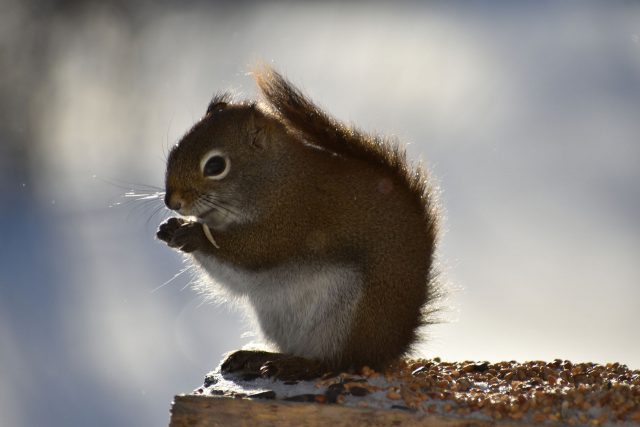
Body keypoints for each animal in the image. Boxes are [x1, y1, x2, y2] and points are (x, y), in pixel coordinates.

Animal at [158, 67, 442, 382]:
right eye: (176, 148)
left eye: (215, 166)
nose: (172, 201)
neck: (277, 179)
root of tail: (388, 348)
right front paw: (171, 227)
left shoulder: (291, 223)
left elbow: (249, 253)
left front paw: (193, 233)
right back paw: (257, 357)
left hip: (349, 320)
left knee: (336, 362)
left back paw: (295, 365)